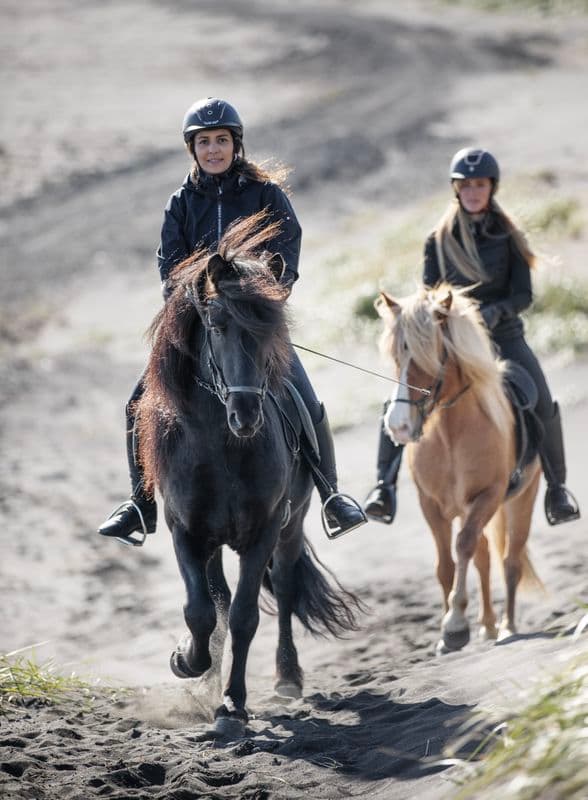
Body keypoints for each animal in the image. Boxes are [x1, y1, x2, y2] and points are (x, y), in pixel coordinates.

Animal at [136, 212, 361, 737]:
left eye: (272, 330)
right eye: (217, 326)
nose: (246, 415)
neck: (220, 447)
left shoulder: (263, 531)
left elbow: (242, 618)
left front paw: (231, 707)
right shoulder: (185, 532)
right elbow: (201, 612)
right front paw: (189, 663)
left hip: (292, 525)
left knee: (285, 589)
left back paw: (287, 677)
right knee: (215, 599)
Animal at [376, 283, 542, 653]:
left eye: (429, 356)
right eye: (395, 358)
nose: (398, 427)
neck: (450, 435)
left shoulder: (487, 497)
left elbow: (464, 546)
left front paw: (454, 624)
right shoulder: (431, 505)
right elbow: (445, 564)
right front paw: (446, 632)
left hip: (521, 500)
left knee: (510, 561)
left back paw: (506, 626)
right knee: (484, 559)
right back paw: (489, 625)